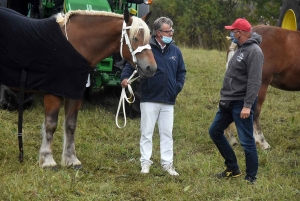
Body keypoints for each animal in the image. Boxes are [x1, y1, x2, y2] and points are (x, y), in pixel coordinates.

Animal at [1, 7, 157, 168]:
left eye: (148, 37)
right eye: (134, 38)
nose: (151, 68)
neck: (76, 44)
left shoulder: (75, 93)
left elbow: (71, 125)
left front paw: (71, 159)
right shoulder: (53, 92)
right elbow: (51, 125)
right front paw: (48, 160)